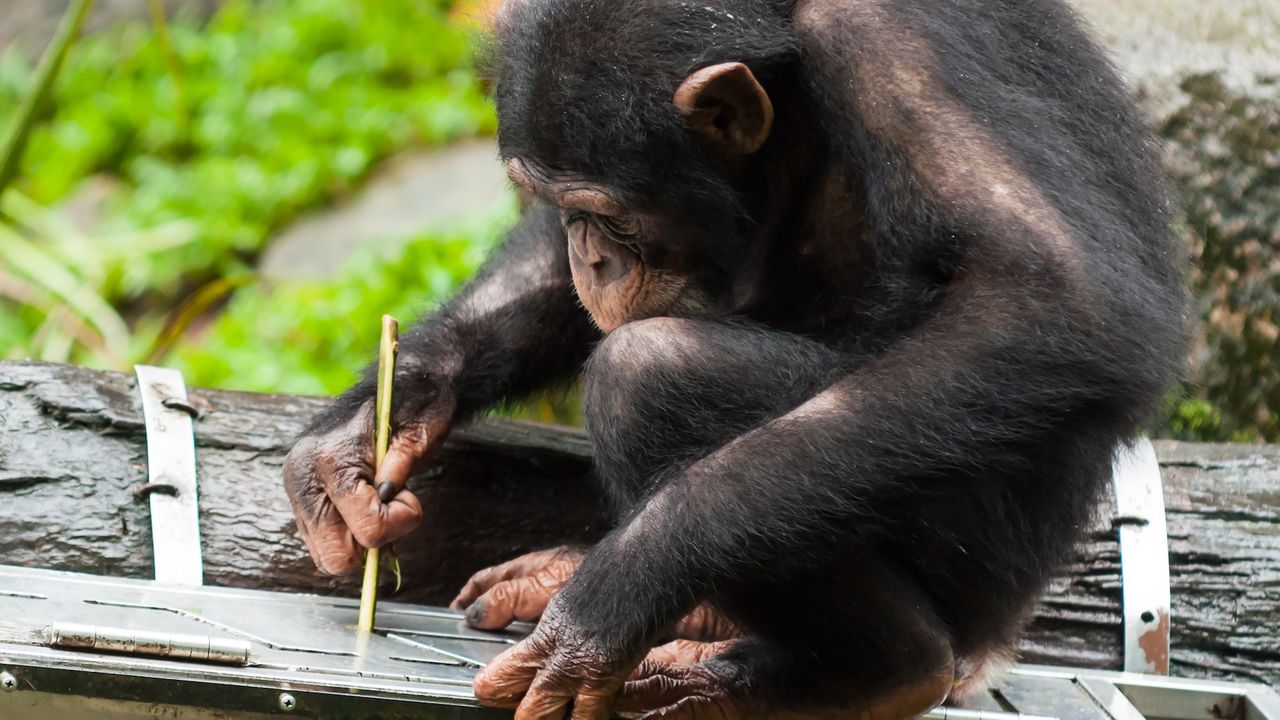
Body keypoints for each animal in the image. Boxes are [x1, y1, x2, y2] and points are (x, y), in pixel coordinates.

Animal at [283, 0, 1186, 717]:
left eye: (605, 213)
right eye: (561, 206)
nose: (589, 257)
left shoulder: (894, 43)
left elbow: (1049, 298)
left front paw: (617, 593)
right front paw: (368, 431)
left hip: (982, 555)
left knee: (649, 378)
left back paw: (874, 673)